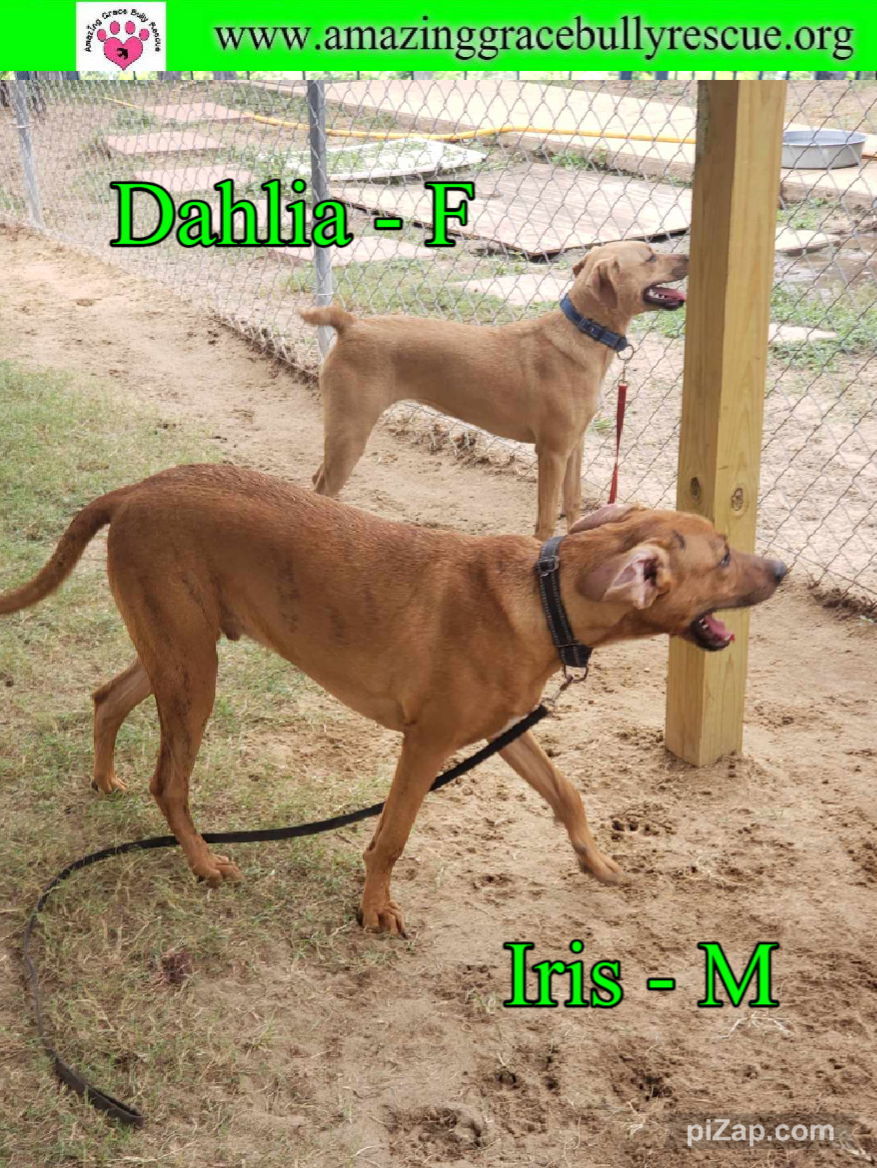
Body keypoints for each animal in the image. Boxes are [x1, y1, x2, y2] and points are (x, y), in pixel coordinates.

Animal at [0, 462, 784, 929]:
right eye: (721, 557)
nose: (779, 568)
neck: (545, 595)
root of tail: (136, 489)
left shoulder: (503, 729)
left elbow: (566, 793)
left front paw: (595, 862)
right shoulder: (426, 743)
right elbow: (392, 836)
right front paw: (374, 908)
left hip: (178, 652)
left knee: (106, 698)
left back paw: (103, 777)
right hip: (194, 673)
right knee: (169, 782)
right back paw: (202, 863)